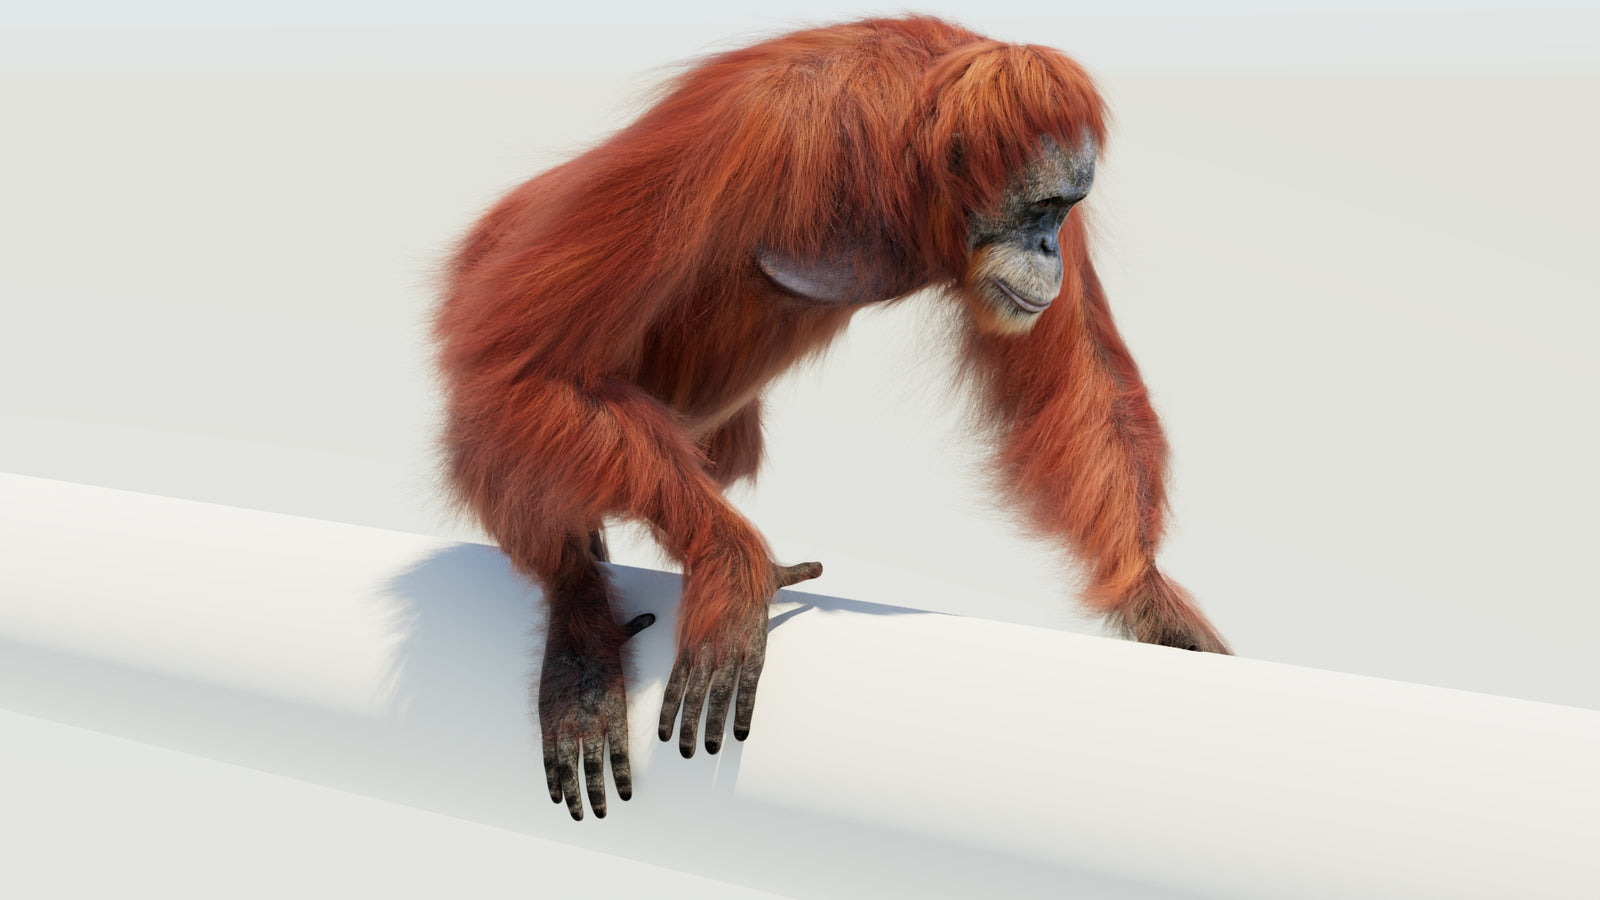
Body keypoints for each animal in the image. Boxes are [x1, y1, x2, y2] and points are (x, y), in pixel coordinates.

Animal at [432, 15, 1230, 821]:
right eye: (1040, 208)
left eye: (1065, 211)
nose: (1048, 248)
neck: (904, 157)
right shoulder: (751, 130)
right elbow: (527, 362)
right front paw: (733, 568)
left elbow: (1082, 380)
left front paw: (1152, 603)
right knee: (504, 397)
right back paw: (579, 631)